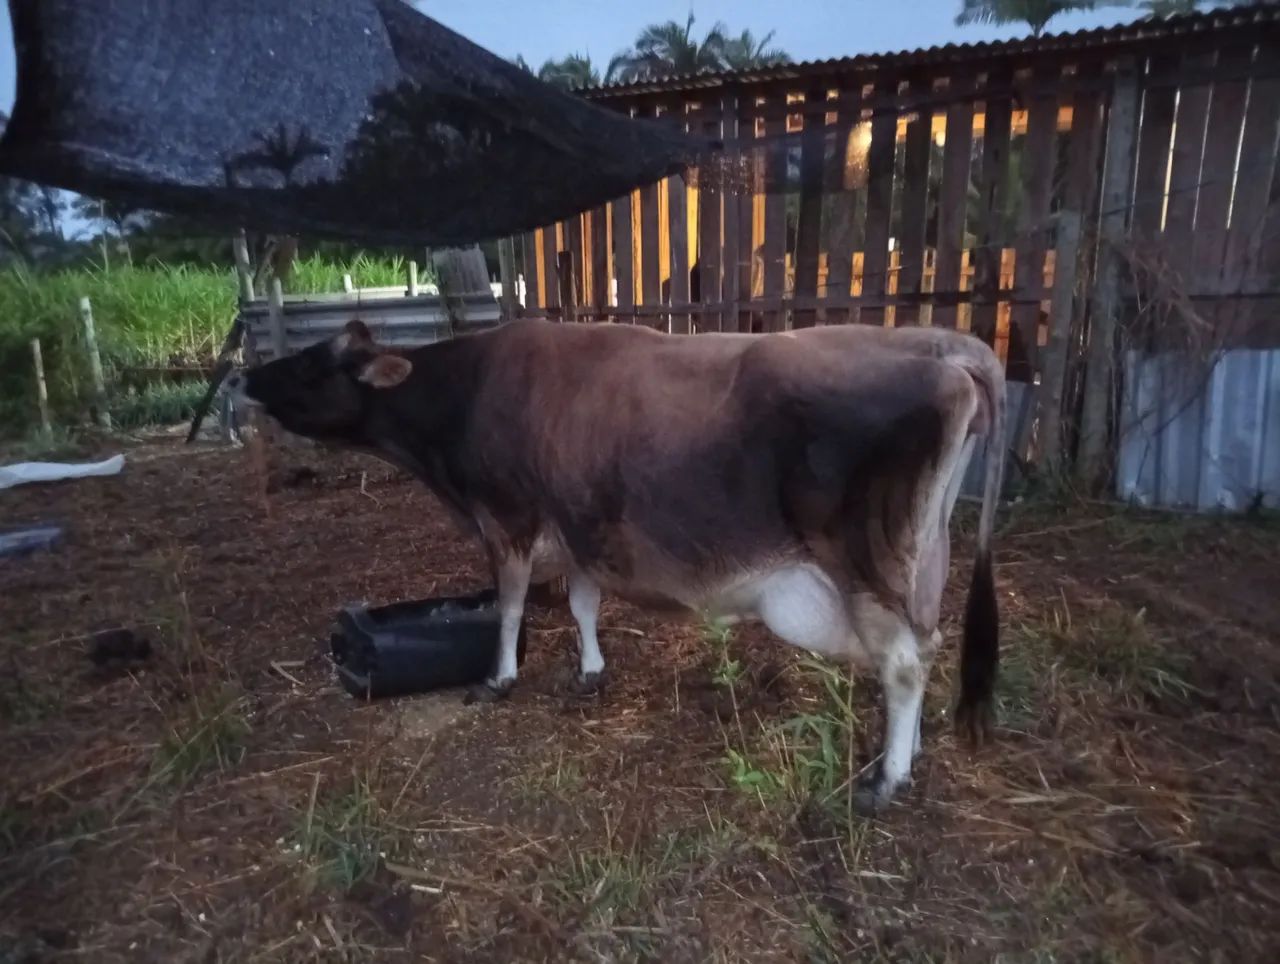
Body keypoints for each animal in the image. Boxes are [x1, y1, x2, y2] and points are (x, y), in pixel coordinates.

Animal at [225, 317, 1004, 812]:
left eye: (311, 362)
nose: (244, 377)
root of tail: (944, 346)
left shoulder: (507, 517)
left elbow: (510, 607)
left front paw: (499, 679)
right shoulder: (578, 531)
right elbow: (581, 604)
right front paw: (590, 670)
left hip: (868, 562)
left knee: (902, 664)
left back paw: (886, 781)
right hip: (920, 562)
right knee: (927, 648)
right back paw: (910, 756)